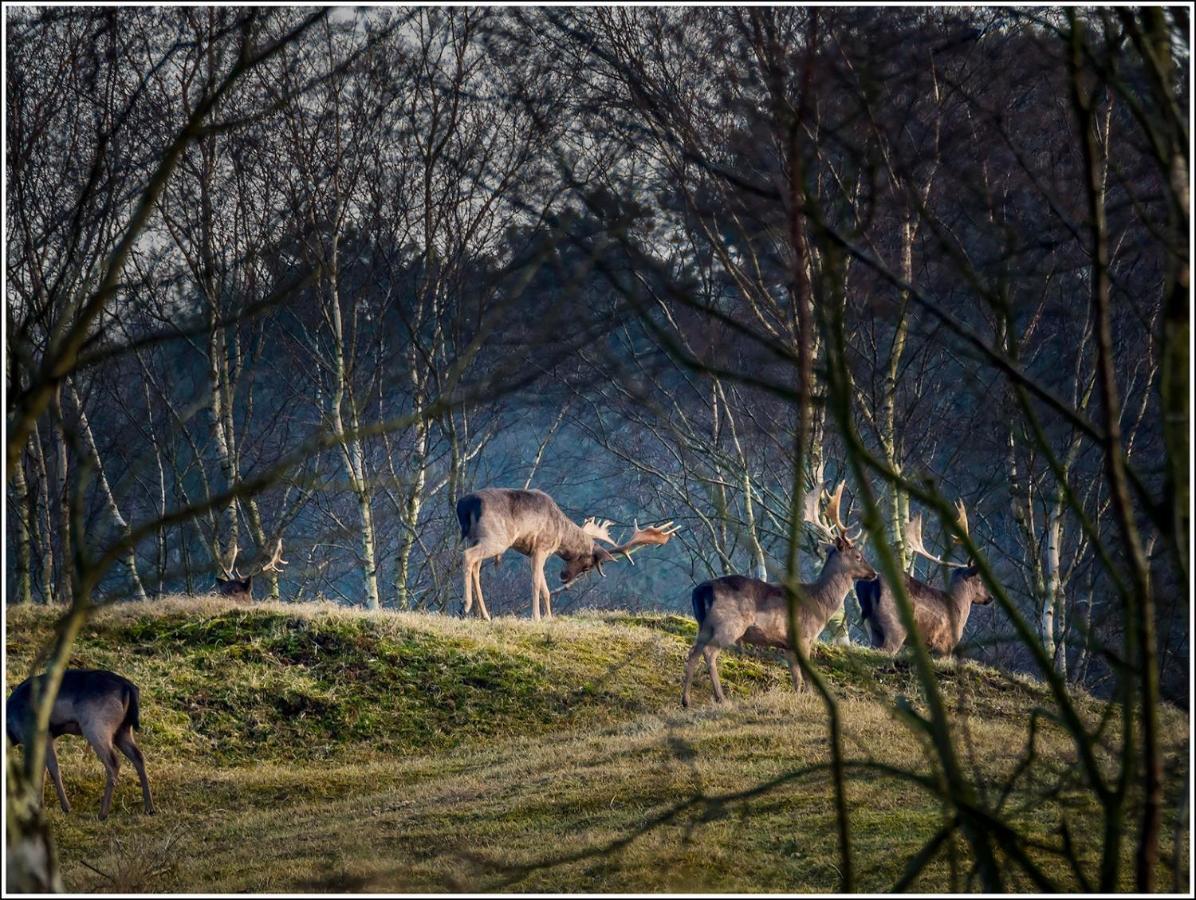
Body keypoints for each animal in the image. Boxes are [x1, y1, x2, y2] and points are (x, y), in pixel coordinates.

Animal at [5, 669, 155, 822]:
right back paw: (149, 808)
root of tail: (129, 687)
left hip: (97, 727)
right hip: (123, 729)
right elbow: (42, 770)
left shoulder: (42, 734)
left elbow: (52, 769)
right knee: (138, 756)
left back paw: (102, 813)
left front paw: (66, 807)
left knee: (113, 762)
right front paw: (39, 805)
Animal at [456, 487, 679, 621]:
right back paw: (466, 605)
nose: (564, 576)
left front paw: (549, 617)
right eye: (588, 565)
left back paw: (485, 615)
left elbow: (545, 588)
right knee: (467, 556)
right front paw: (536, 617)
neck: (561, 532)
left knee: (476, 566)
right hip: (497, 537)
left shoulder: (535, 552)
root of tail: (465, 506)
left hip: (478, 537)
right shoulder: (541, 546)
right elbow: (536, 583)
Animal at [684, 480, 880, 707]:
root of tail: (701, 592)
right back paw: (721, 698)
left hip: (703, 625)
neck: (819, 604)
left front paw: (800, 696)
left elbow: (795, 676)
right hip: (728, 624)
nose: (874, 573)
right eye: (858, 556)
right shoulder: (804, 636)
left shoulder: (788, 644)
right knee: (709, 652)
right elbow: (806, 675)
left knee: (693, 652)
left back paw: (686, 700)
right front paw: (812, 698)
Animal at [856, 499, 995, 654]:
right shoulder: (946, 645)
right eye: (979, 579)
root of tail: (871, 584)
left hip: (872, 627)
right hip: (895, 627)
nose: (990, 597)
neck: (958, 605)